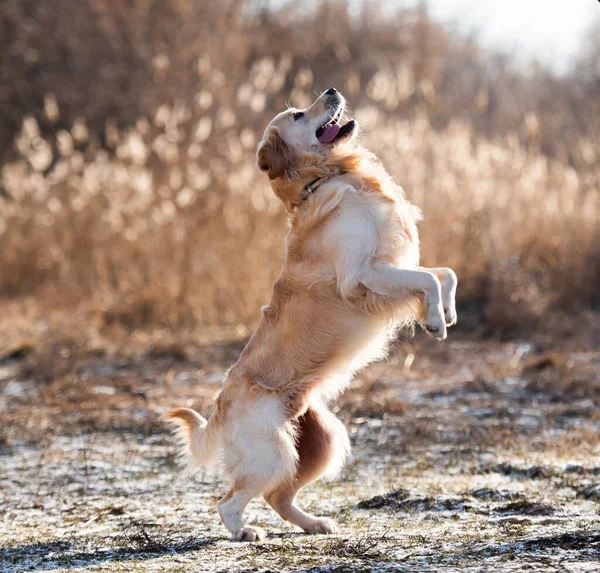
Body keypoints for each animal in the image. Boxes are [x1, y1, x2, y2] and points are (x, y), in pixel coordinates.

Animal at [166, 88, 458, 540]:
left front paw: (445, 311)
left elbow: (445, 273)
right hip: (273, 453)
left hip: (324, 438)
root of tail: (219, 409)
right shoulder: (362, 275)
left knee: (278, 497)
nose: (332, 90)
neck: (330, 175)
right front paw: (434, 321)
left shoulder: (395, 265)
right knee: (228, 501)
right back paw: (244, 531)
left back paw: (315, 524)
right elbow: (427, 277)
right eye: (298, 115)